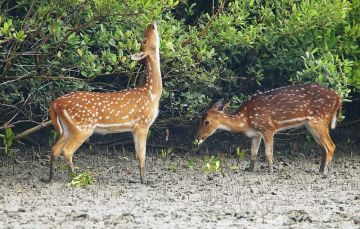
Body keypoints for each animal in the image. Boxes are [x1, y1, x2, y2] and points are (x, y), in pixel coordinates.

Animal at [46, 22, 162, 183]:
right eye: (143, 40)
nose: (151, 24)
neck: (151, 94)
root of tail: (55, 103)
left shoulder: (134, 128)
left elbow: (137, 156)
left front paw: (141, 179)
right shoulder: (142, 124)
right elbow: (142, 156)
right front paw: (144, 181)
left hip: (68, 128)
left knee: (54, 148)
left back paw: (50, 178)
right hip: (83, 127)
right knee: (66, 150)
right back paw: (75, 178)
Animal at [198, 83, 342, 174]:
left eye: (206, 122)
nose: (197, 137)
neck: (245, 121)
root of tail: (339, 98)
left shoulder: (268, 128)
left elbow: (268, 153)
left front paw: (270, 171)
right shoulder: (256, 134)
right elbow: (253, 152)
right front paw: (249, 169)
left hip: (318, 120)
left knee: (330, 145)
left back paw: (325, 172)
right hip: (311, 124)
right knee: (323, 147)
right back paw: (320, 170)